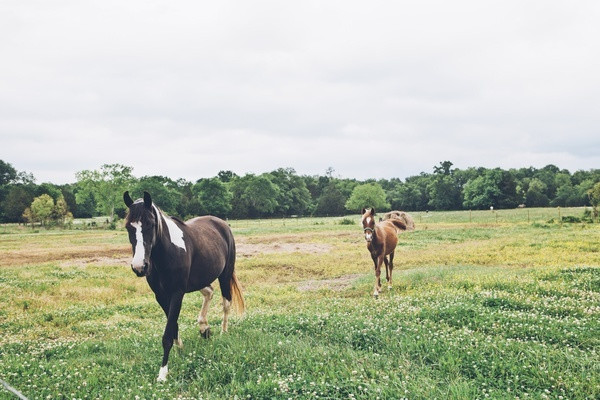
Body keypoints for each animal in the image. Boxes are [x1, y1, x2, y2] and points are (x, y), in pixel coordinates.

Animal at [122, 192, 244, 382]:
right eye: (129, 226)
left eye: (150, 224)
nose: (139, 267)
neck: (166, 253)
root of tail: (222, 223)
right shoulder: (160, 296)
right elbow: (173, 326)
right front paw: (180, 351)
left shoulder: (177, 293)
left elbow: (167, 334)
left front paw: (163, 373)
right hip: (200, 280)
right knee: (209, 292)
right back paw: (204, 328)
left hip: (225, 275)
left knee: (226, 303)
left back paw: (223, 333)